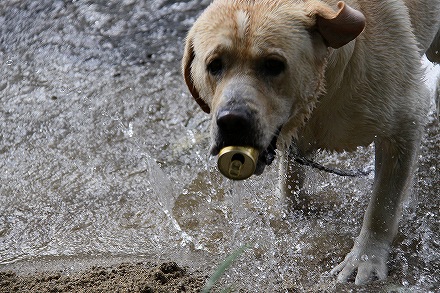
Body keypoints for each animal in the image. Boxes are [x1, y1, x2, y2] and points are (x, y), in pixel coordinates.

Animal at [181, 0, 440, 282]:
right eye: (214, 65)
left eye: (273, 65)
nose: (232, 120)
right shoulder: (294, 136)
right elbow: (289, 184)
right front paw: (285, 211)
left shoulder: (404, 124)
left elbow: (382, 205)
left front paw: (365, 258)